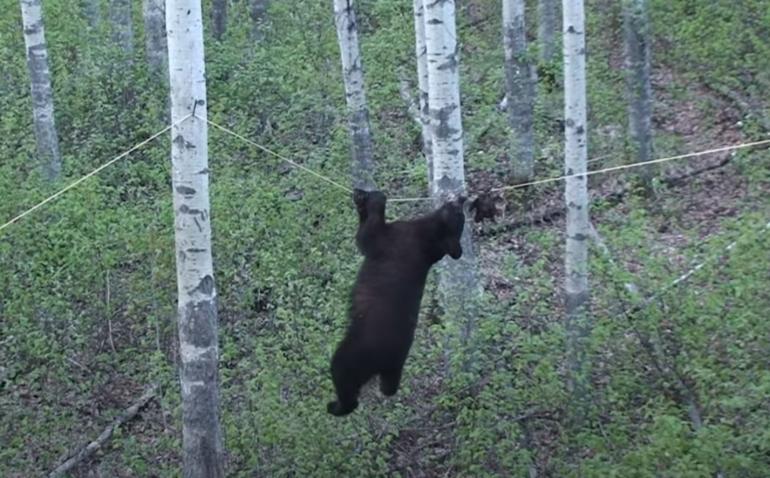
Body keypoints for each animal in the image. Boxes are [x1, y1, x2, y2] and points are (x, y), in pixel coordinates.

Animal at [327, 188, 467, 416]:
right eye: (460, 212)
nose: (461, 199)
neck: (429, 239)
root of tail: (388, 361)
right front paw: (361, 199)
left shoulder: (392, 238)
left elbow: (367, 235)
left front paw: (375, 198)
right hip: (392, 369)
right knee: (388, 387)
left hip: (353, 354)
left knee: (344, 378)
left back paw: (336, 406)